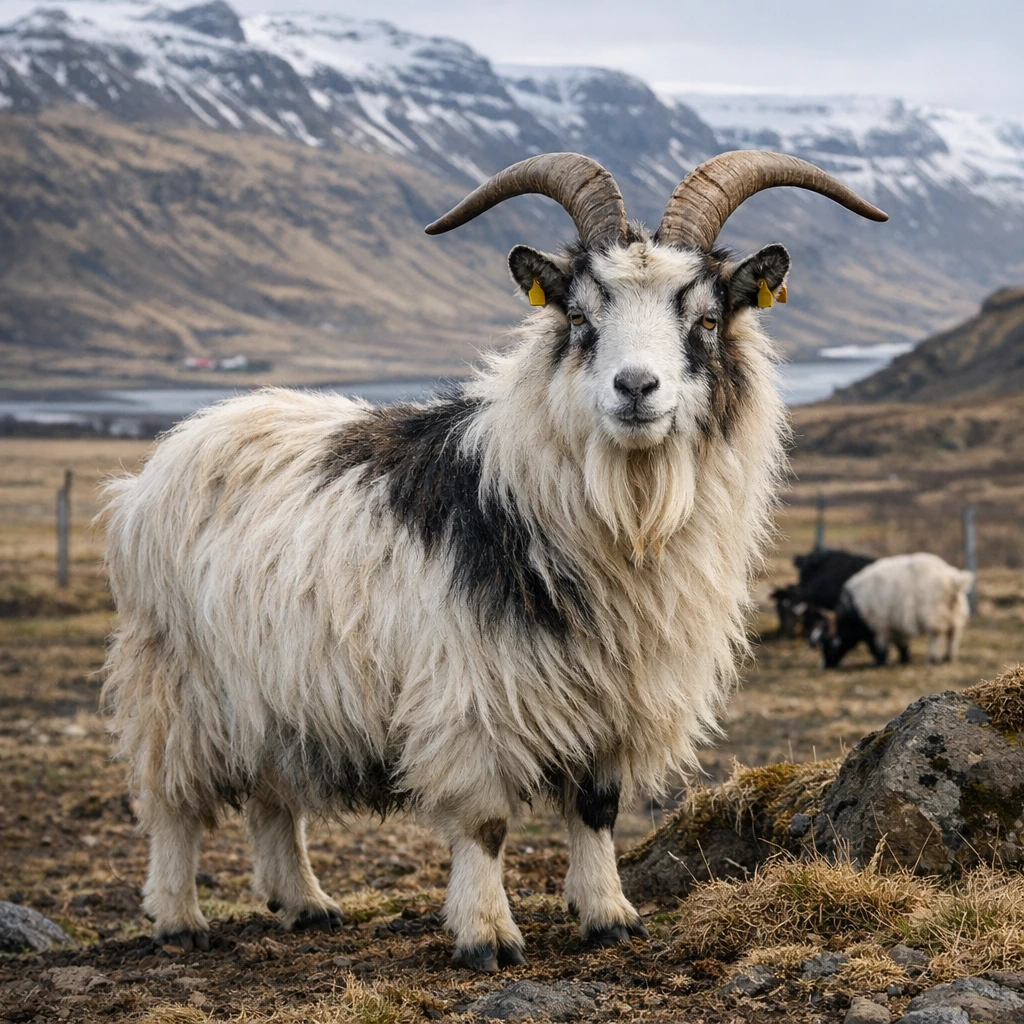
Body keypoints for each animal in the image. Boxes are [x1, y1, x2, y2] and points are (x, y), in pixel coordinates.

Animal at [101, 150, 886, 968]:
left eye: (704, 318)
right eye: (579, 317)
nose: (636, 387)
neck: (624, 521)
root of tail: (163, 458)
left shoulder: (616, 694)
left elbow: (597, 810)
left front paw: (610, 916)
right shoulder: (468, 698)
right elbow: (484, 824)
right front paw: (486, 936)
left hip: (274, 689)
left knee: (272, 796)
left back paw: (306, 903)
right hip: (178, 681)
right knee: (171, 803)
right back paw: (178, 918)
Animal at [813, 553, 973, 668]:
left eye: (829, 644)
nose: (824, 666)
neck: (855, 610)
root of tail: (953, 581)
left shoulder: (878, 627)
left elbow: (880, 647)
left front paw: (879, 662)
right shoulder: (894, 626)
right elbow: (901, 644)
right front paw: (903, 658)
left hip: (934, 617)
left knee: (937, 636)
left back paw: (932, 658)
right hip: (954, 616)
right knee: (953, 635)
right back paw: (948, 657)